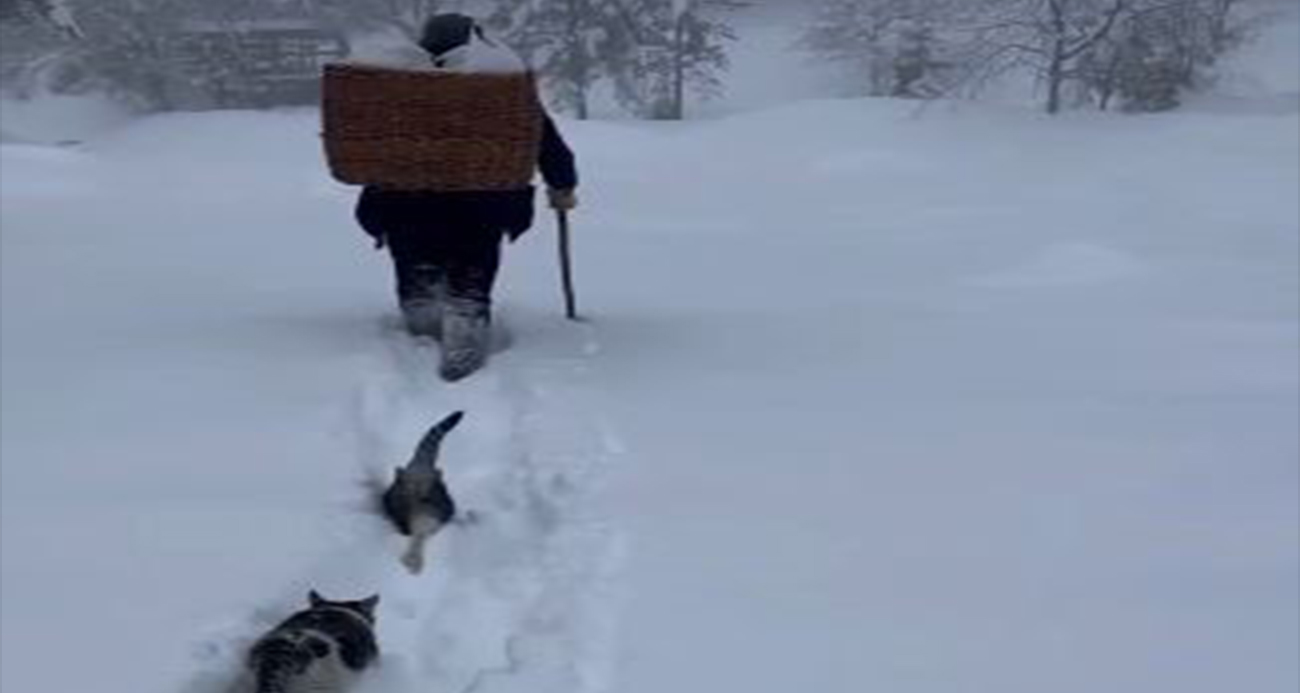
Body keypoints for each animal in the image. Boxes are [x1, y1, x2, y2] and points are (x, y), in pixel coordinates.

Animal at [379, 410, 462, 572]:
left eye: (425, 496)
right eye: (408, 490)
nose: (422, 497)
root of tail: (421, 465)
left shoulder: (430, 514)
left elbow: (420, 535)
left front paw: (413, 560)